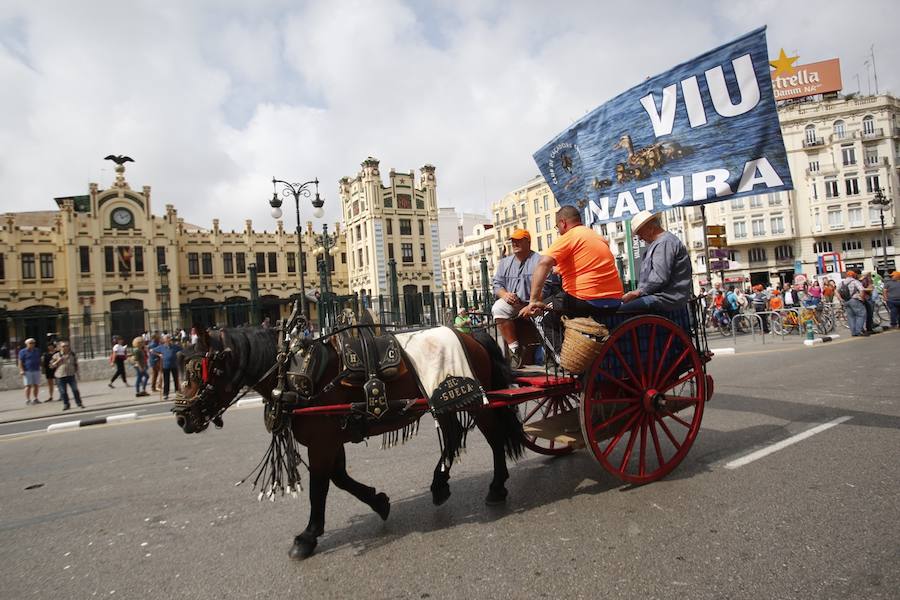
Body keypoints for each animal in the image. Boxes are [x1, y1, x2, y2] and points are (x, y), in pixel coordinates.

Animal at [172, 326, 524, 560]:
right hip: (443, 401)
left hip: (476, 400)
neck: (293, 374)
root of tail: (470, 334)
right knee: (452, 438)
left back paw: (497, 487)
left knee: (494, 440)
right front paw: (378, 502)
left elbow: (319, 488)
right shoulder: (330, 438)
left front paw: (307, 536)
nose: (182, 418)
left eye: (198, 370)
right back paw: (439, 485)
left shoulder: (321, 442)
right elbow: (339, 478)